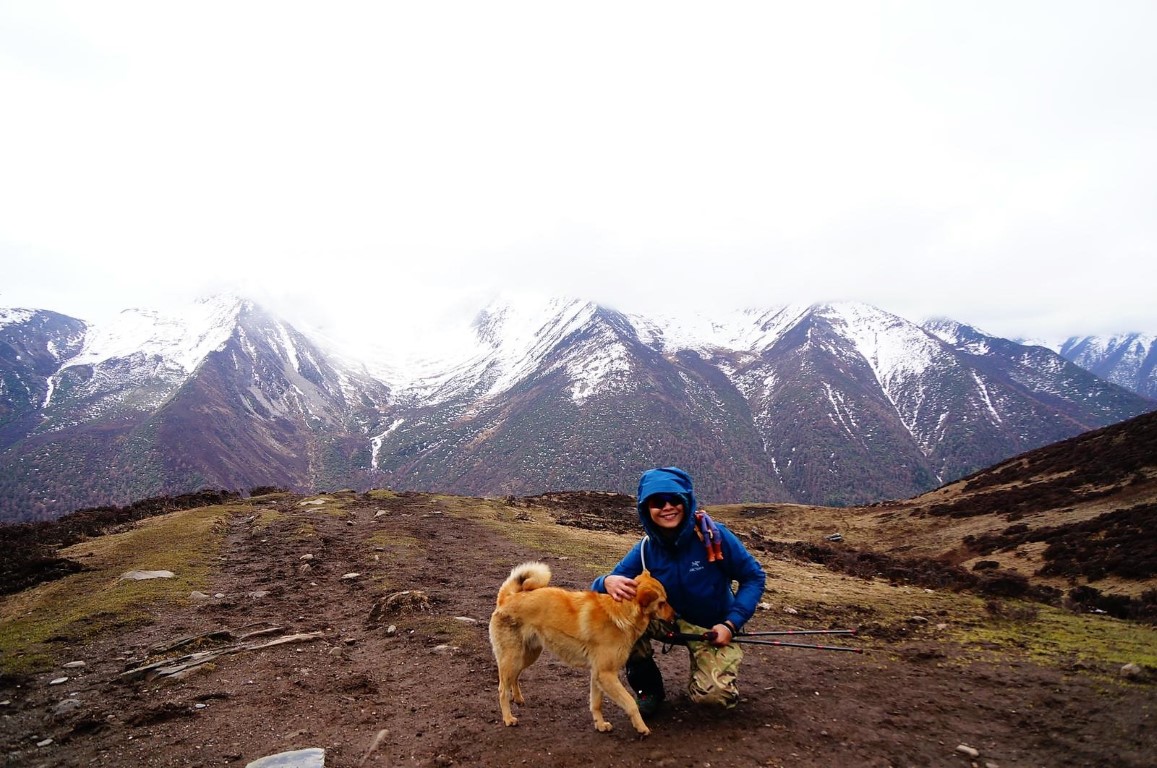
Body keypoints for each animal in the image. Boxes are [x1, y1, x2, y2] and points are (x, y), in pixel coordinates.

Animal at [490, 564, 675, 730]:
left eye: (666, 600)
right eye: (662, 602)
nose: (676, 616)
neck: (621, 613)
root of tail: (507, 598)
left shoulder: (597, 674)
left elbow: (596, 703)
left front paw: (600, 725)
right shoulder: (606, 674)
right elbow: (630, 703)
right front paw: (642, 727)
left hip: (527, 656)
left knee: (514, 677)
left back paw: (518, 698)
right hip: (513, 658)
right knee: (502, 689)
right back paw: (508, 718)